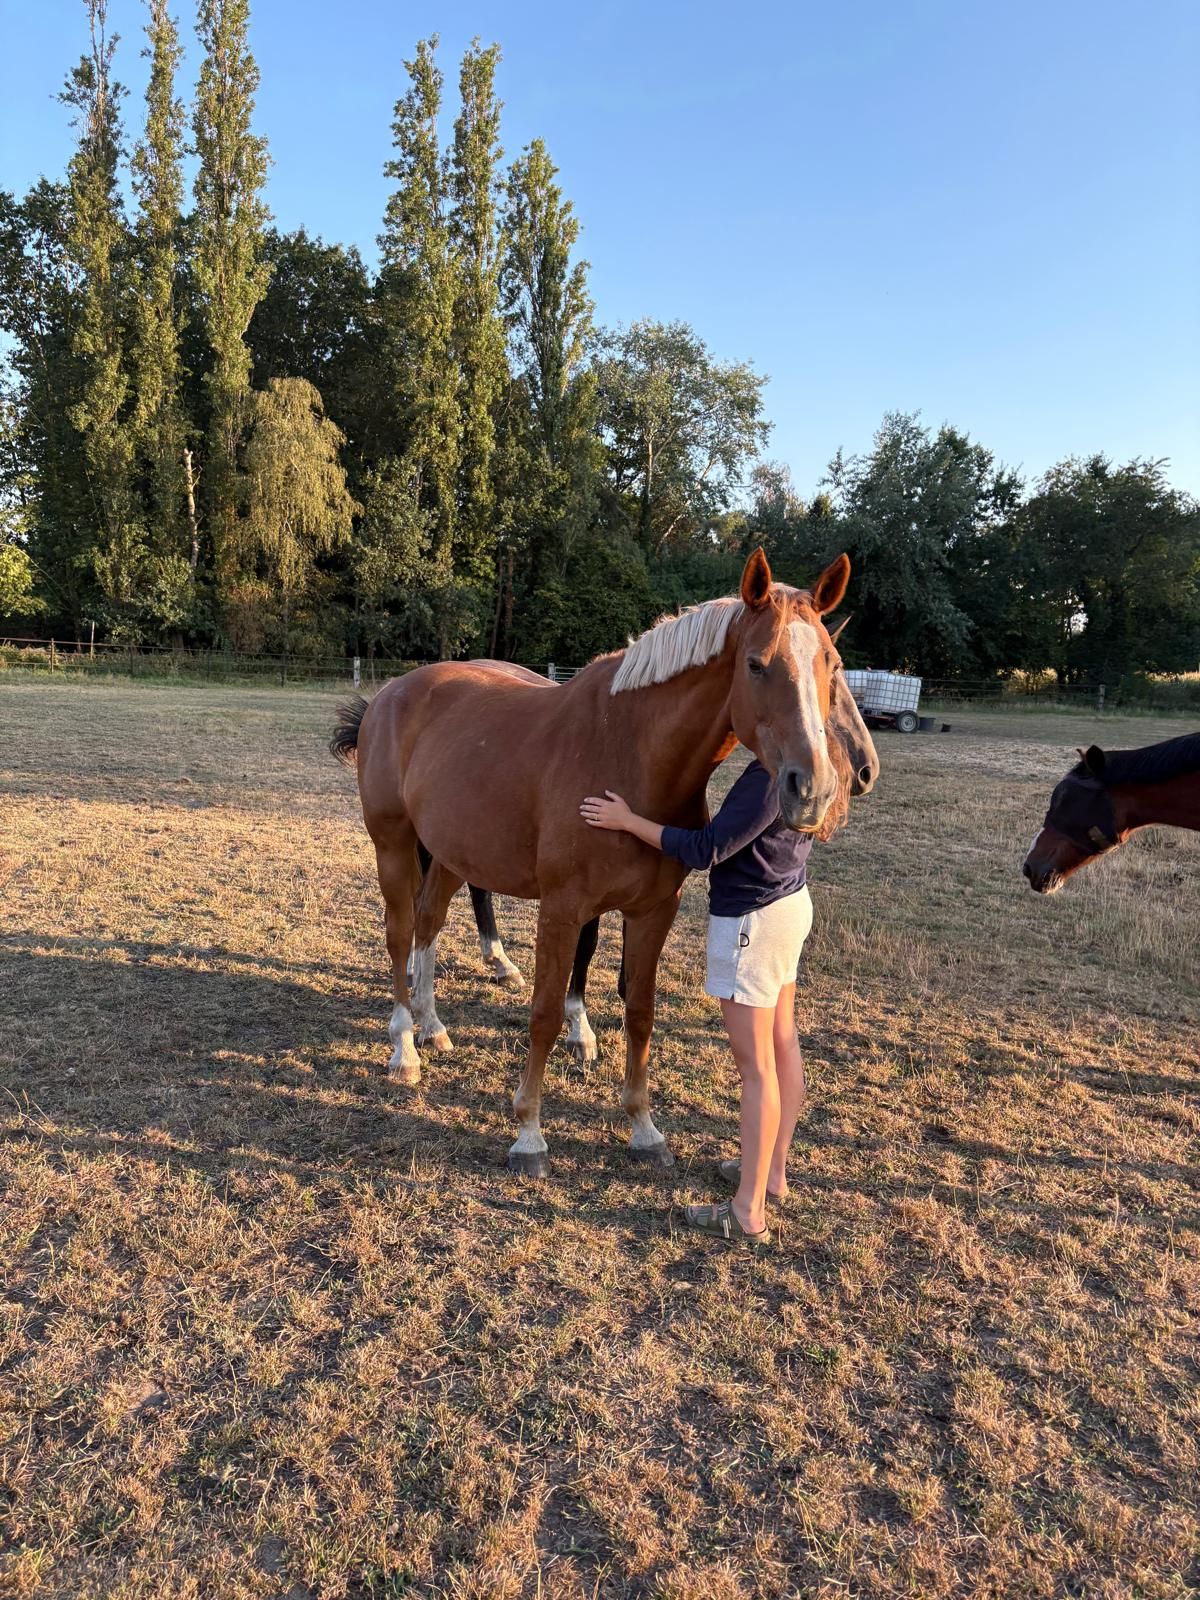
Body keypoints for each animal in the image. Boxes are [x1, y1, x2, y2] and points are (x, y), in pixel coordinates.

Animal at [332, 547, 852, 1176]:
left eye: (831, 663)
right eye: (756, 664)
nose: (814, 790)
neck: (628, 756)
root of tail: (390, 694)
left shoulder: (653, 911)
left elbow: (640, 1012)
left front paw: (644, 1128)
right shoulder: (561, 909)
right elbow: (545, 1014)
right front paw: (529, 1134)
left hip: (455, 854)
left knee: (429, 925)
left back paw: (433, 1028)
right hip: (393, 846)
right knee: (399, 934)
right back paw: (405, 1047)